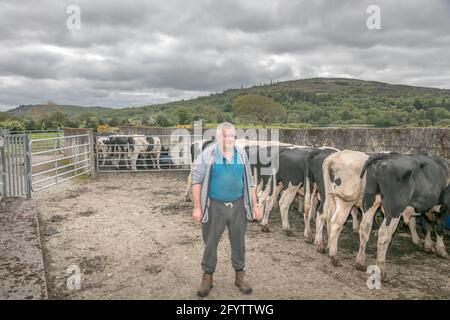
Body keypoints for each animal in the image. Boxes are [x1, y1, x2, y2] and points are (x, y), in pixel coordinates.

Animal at [356, 152, 448, 280]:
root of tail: (385, 156)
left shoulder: (424, 206)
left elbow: (424, 225)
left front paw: (426, 244)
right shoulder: (444, 205)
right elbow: (439, 227)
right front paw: (440, 249)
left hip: (370, 200)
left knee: (365, 227)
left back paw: (360, 262)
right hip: (394, 208)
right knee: (384, 234)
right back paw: (382, 271)